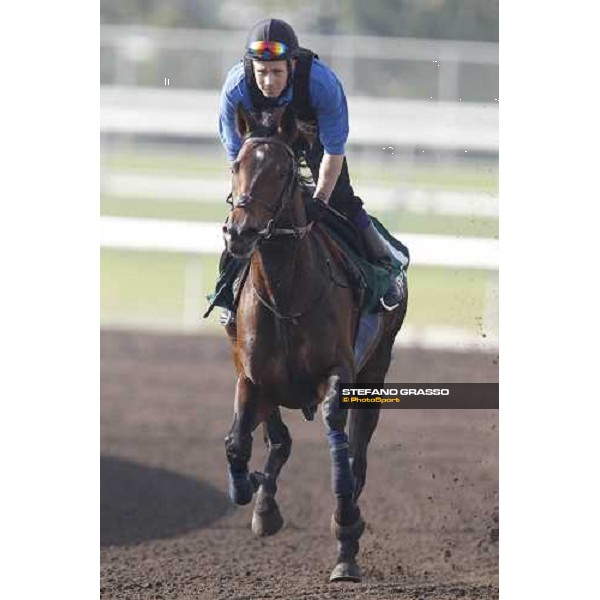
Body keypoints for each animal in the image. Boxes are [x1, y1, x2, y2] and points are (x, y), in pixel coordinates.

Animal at [220, 103, 408, 580]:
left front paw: (346, 540)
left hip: (376, 370)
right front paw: (255, 494)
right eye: (236, 165)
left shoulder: (338, 373)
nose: (240, 232)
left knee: (358, 455)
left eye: (282, 170)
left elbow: (338, 446)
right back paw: (264, 501)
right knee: (279, 439)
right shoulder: (251, 376)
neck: (285, 294)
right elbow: (239, 443)